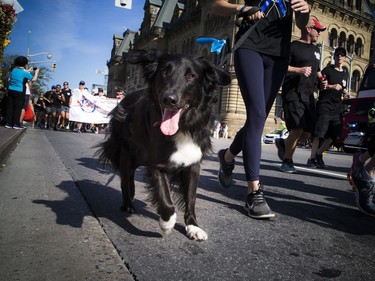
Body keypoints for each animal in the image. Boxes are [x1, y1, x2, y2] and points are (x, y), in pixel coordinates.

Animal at [97, 49, 232, 240]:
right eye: (163, 72)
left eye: (191, 76)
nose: (169, 99)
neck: (183, 126)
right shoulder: (156, 163)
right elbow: (165, 197)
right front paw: (167, 223)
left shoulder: (193, 163)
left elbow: (191, 197)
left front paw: (193, 226)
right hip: (126, 152)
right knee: (125, 177)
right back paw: (128, 203)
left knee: (130, 176)